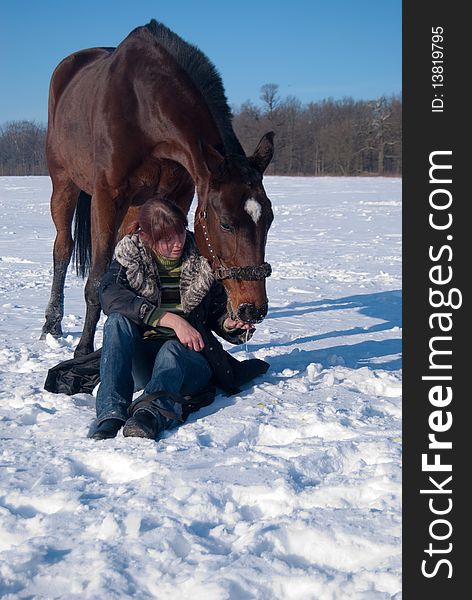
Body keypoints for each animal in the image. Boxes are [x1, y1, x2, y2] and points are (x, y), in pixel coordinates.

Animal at [43, 18, 276, 356]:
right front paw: (84, 349)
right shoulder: (107, 195)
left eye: (269, 220)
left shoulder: (178, 195)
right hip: (64, 183)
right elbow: (96, 280)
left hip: (136, 204)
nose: (252, 309)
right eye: (226, 224)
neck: (143, 109)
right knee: (62, 248)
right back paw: (52, 323)